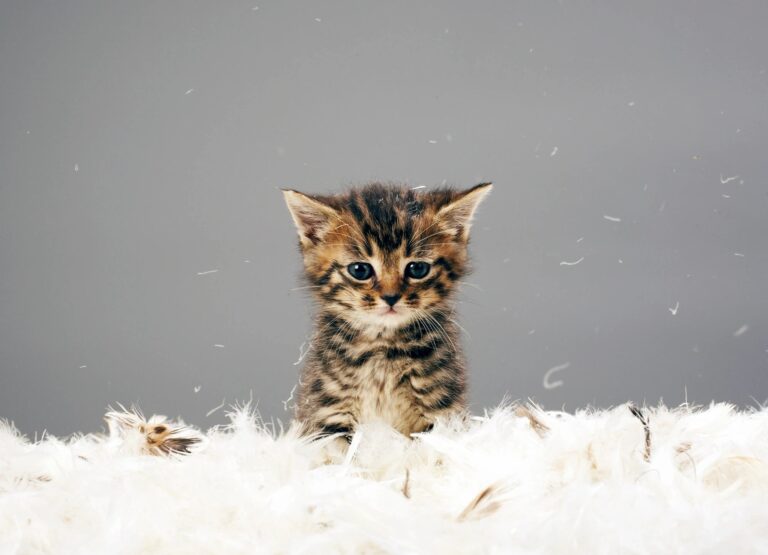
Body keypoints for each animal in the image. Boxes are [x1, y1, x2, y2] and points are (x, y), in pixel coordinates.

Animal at [284, 182, 492, 438]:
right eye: (360, 270)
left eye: (417, 268)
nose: (391, 297)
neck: (382, 346)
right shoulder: (326, 412)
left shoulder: (441, 410)